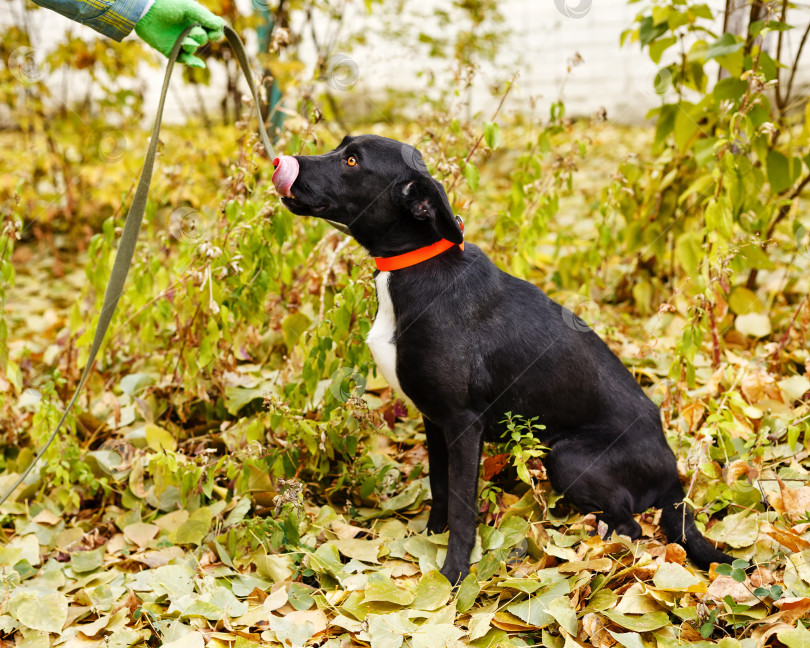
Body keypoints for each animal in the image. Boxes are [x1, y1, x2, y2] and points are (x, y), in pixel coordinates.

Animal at [272, 134, 732, 580]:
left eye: (352, 161)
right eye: (340, 147)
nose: (279, 161)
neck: (415, 268)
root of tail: (673, 472)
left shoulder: (463, 423)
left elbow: (462, 506)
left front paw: (454, 575)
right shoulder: (434, 419)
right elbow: (440, 488)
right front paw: (429, 540)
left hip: (569, 457)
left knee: (630, 526)